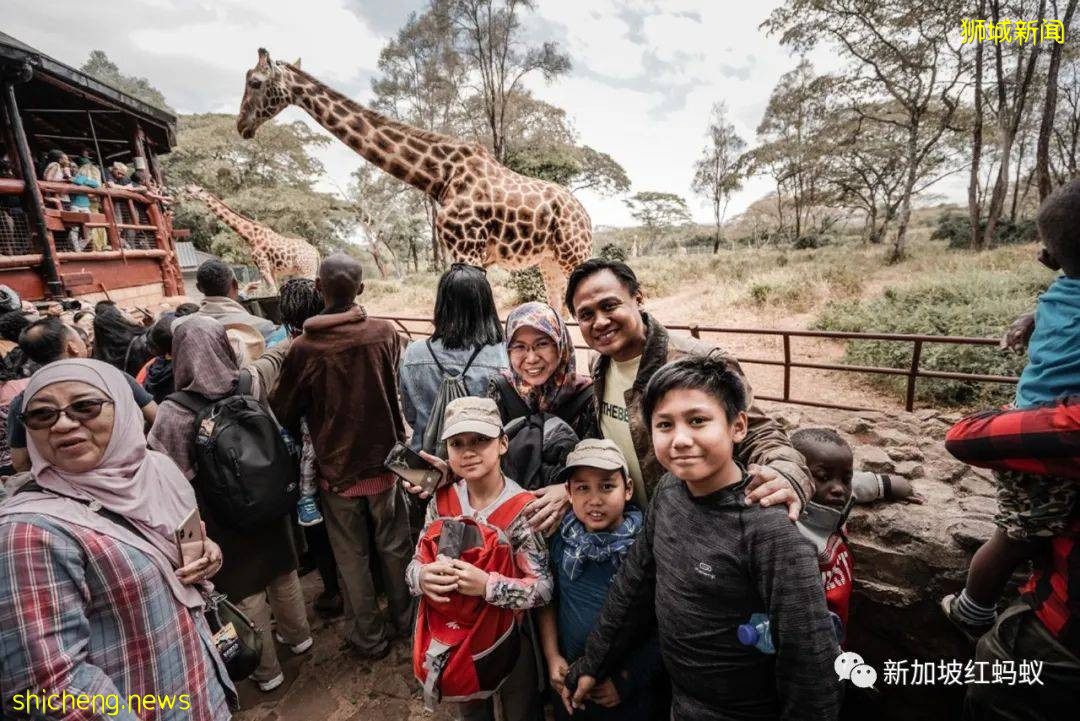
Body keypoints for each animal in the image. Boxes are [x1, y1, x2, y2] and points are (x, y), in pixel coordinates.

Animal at [181, 184, 319, 291]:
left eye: (190, 191)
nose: (185, 197)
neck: (250, 236)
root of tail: (316, 253)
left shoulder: (263, 265)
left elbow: (272, 291)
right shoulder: (269, 269)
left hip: (306, 270)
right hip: (303, 271)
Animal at [234, 48, 591, 310]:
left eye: (255, 81)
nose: (241, 125)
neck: (439, 177)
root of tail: (584, 213)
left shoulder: (468, 249)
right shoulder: (464, 253)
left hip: (574, 253)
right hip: (549, 261)